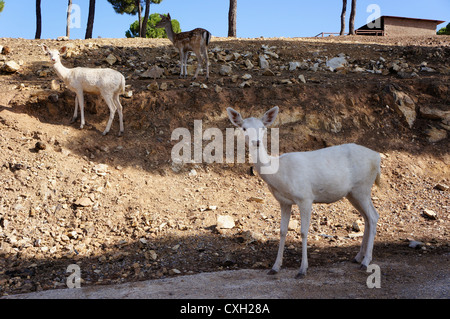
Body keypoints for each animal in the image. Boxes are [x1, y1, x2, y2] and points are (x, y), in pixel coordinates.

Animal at [227, 106, 382, 278]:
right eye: (244, 128)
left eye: (263, 127)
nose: (257, 142)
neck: (279, 174)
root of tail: (377, 157)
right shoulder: (283, 201)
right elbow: (282, 231)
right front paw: (275, 267)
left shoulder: (305, 197)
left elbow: (303, 231)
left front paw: (302, 269)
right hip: (353, 193)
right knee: (366, 218)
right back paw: (358, 256)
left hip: (363, 186)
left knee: (373, 216)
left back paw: (365, 261)